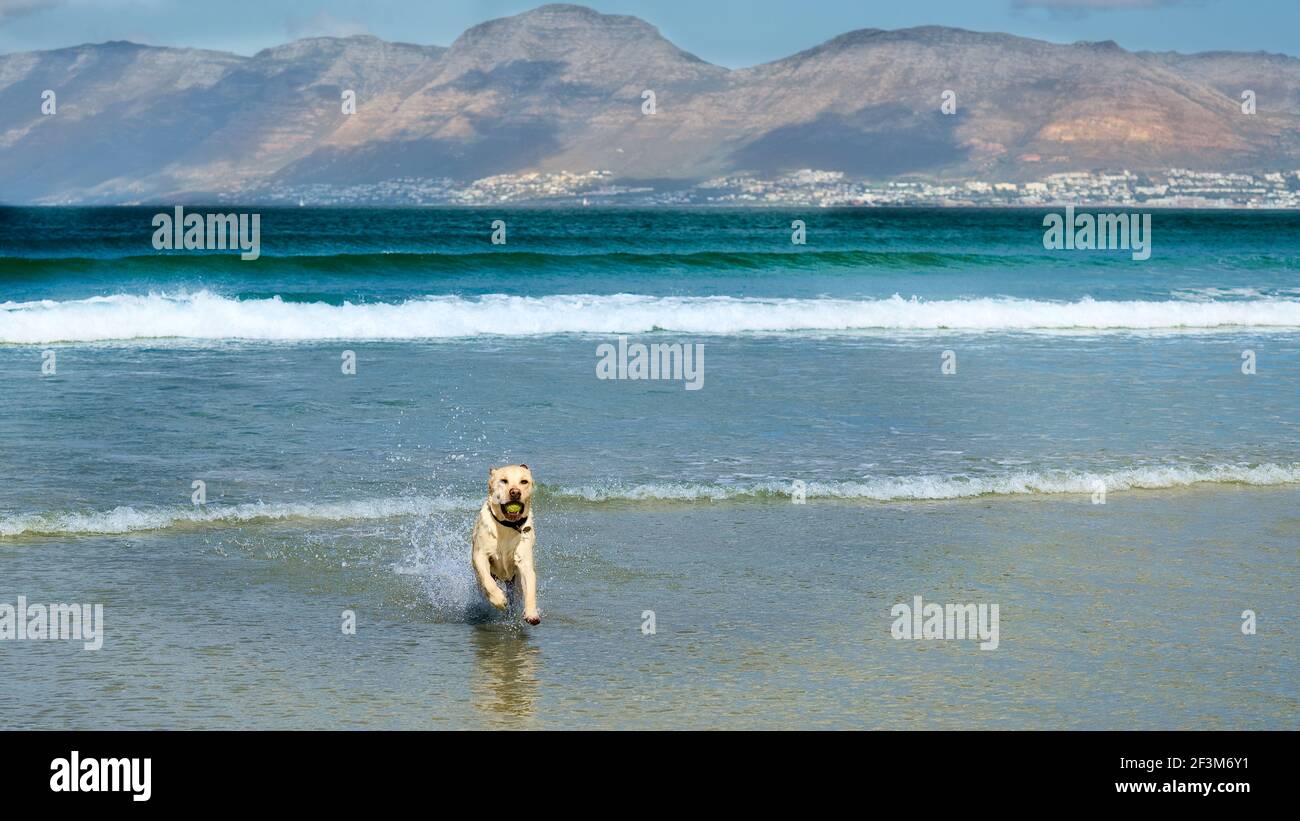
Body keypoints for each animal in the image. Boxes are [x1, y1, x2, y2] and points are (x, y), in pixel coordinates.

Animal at [470, 465, 540, 626]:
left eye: (524, 481)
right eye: (503, 480)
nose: (515, 492)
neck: (508, 526)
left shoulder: (524, 561)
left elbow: (530, 587)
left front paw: (532, 613)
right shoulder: (480, 555)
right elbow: (487, 581)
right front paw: (499, 600)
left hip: (515, 583)